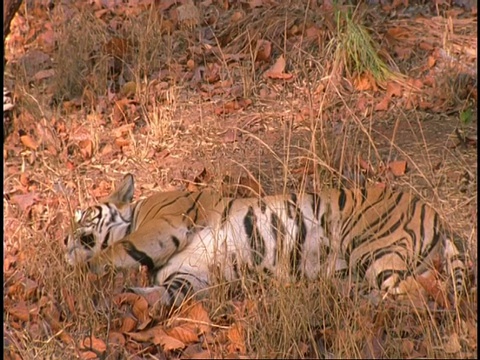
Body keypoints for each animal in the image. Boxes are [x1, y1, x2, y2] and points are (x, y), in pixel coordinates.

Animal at [63, 174, 468, 306]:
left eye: (83, 216)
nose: (64, 240)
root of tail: (437, 214)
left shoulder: (166, 221)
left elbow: (121, 248)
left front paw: (90, 269)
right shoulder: (190, 277)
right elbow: (160, 294)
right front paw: (124, 298)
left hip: (373, 247)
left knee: (416, 294)